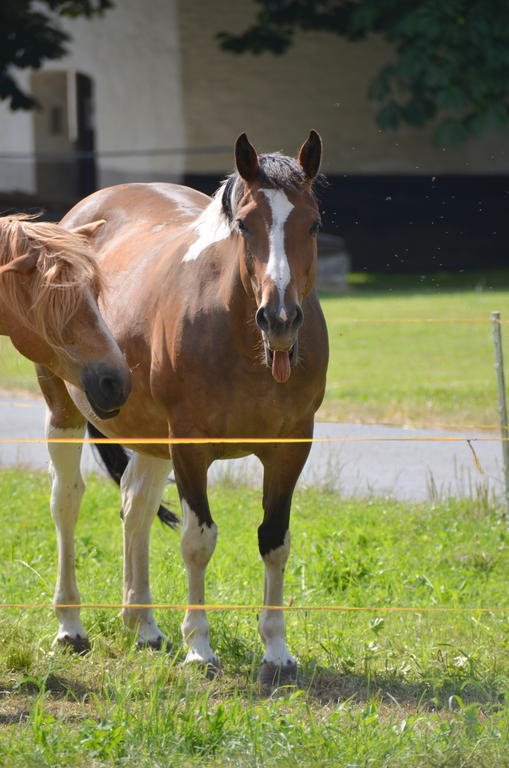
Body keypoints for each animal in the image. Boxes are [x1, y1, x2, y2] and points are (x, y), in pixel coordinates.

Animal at [47, 132, 328, 684]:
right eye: (244, 224)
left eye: (313, 223)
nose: (280, 319)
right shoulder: (191, 447)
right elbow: (198, 540)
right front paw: (199, 646)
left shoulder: (291, 447)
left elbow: (275, 540)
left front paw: (276, 651)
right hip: (63, 409)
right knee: (67, 501)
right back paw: (71, 625)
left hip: (149, 433)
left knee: (134, 505)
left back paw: (143, 625)